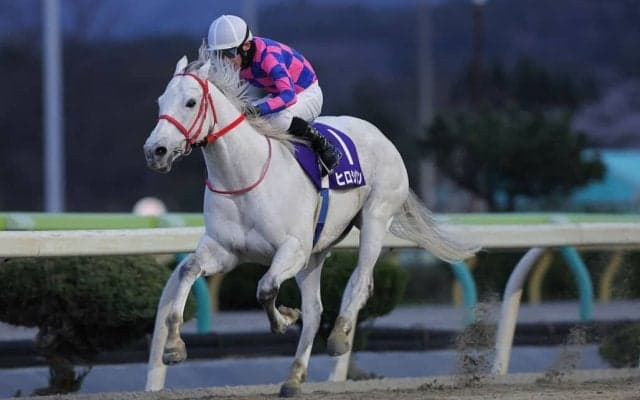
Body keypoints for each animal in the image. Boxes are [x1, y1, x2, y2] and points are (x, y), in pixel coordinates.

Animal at [143, 51, 478, 397]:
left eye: (191, 102)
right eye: (161, 101)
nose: (156, 151)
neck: (244, 175)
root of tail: (379, 134)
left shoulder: (293, 249)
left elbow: (265, 288)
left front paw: (286, 318)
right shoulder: (226, 250)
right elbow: (187, 270)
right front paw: (173, 346)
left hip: (375, 217)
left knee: (359, 281)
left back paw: (340, 336)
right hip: (316, 253)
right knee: (316, 312)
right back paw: (293, 377)